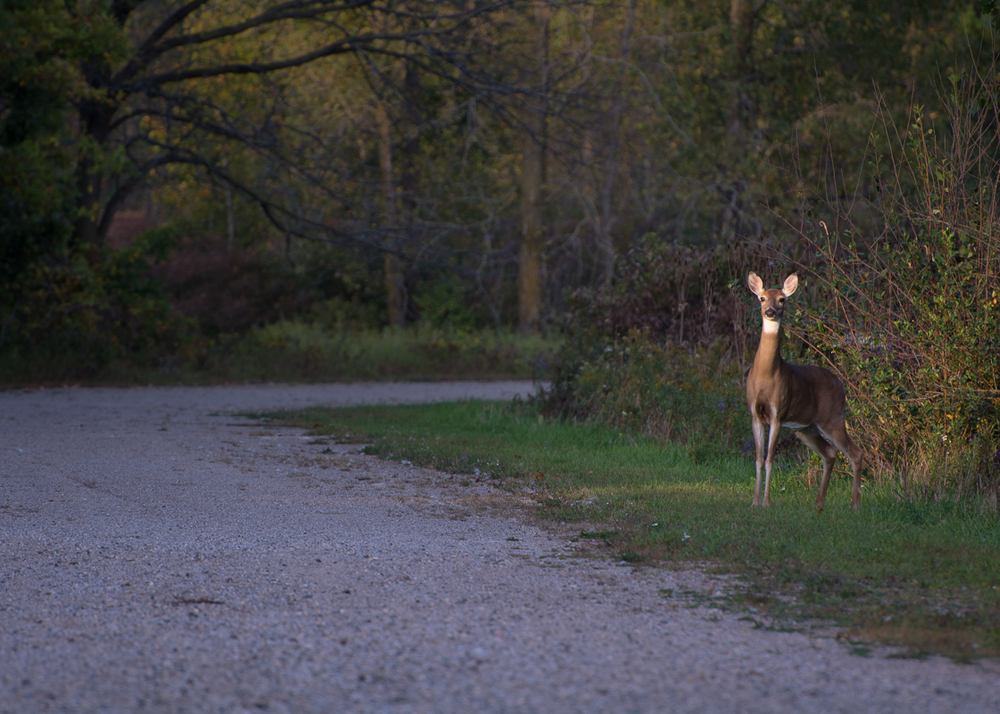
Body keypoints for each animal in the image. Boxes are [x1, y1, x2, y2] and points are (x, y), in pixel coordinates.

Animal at [748, 270, 864, 508]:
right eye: (761, 298)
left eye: (782, 299)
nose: (770, 312)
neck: (765, 375)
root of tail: (840, 382)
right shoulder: (755, 413)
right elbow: (758, 458)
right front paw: (754, 502)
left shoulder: (778, 413)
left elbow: (770, 458)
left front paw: (767, 502)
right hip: (806, 428)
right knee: (830, 453)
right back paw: (818, 504)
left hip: (833, 418)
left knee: (855, 453)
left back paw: (854, 505)